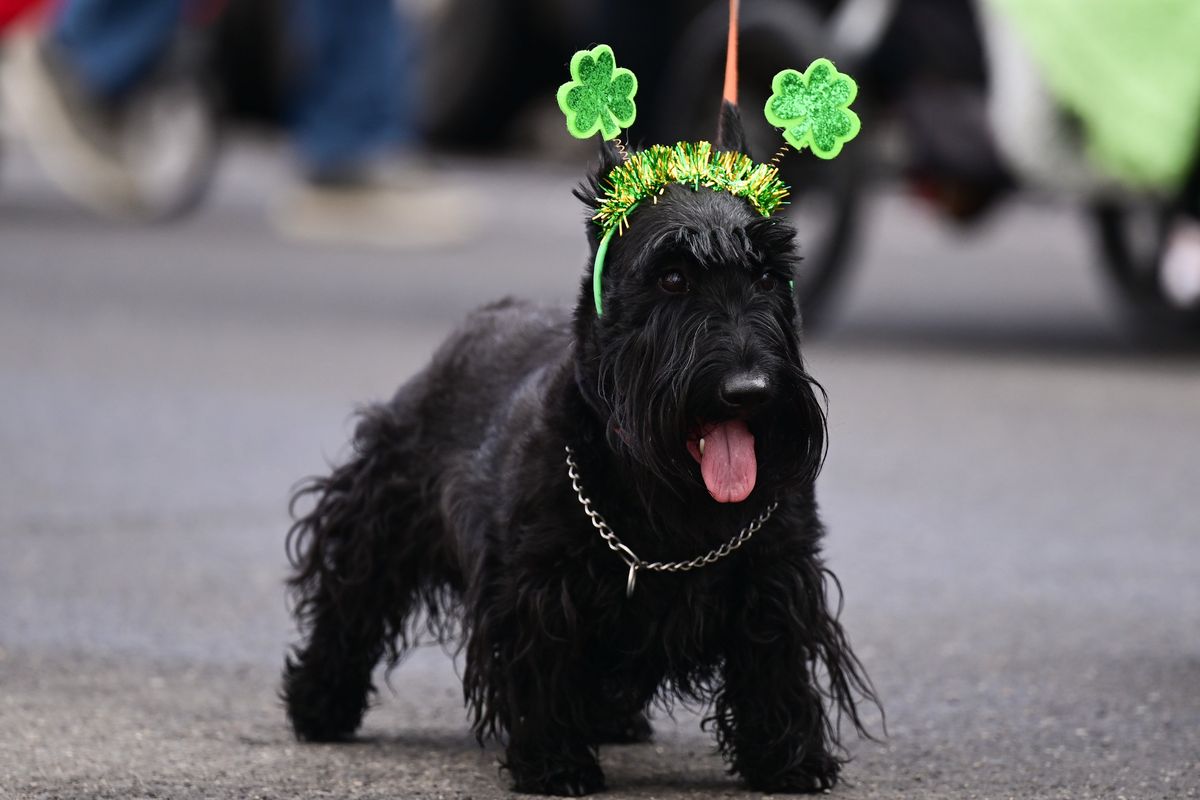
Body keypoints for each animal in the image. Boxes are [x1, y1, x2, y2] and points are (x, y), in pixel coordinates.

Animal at [285, 104, 878, 796]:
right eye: (672, 277)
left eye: (767, 273)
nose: (749, 390)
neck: (671, 498)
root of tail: (489, 313)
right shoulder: (538, 584)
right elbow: (542, 663)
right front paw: (555, 763)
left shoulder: (777, 572)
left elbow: (774, 662)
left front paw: (788, 758)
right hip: (383, 509)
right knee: (351, 598)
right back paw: (318, 703)